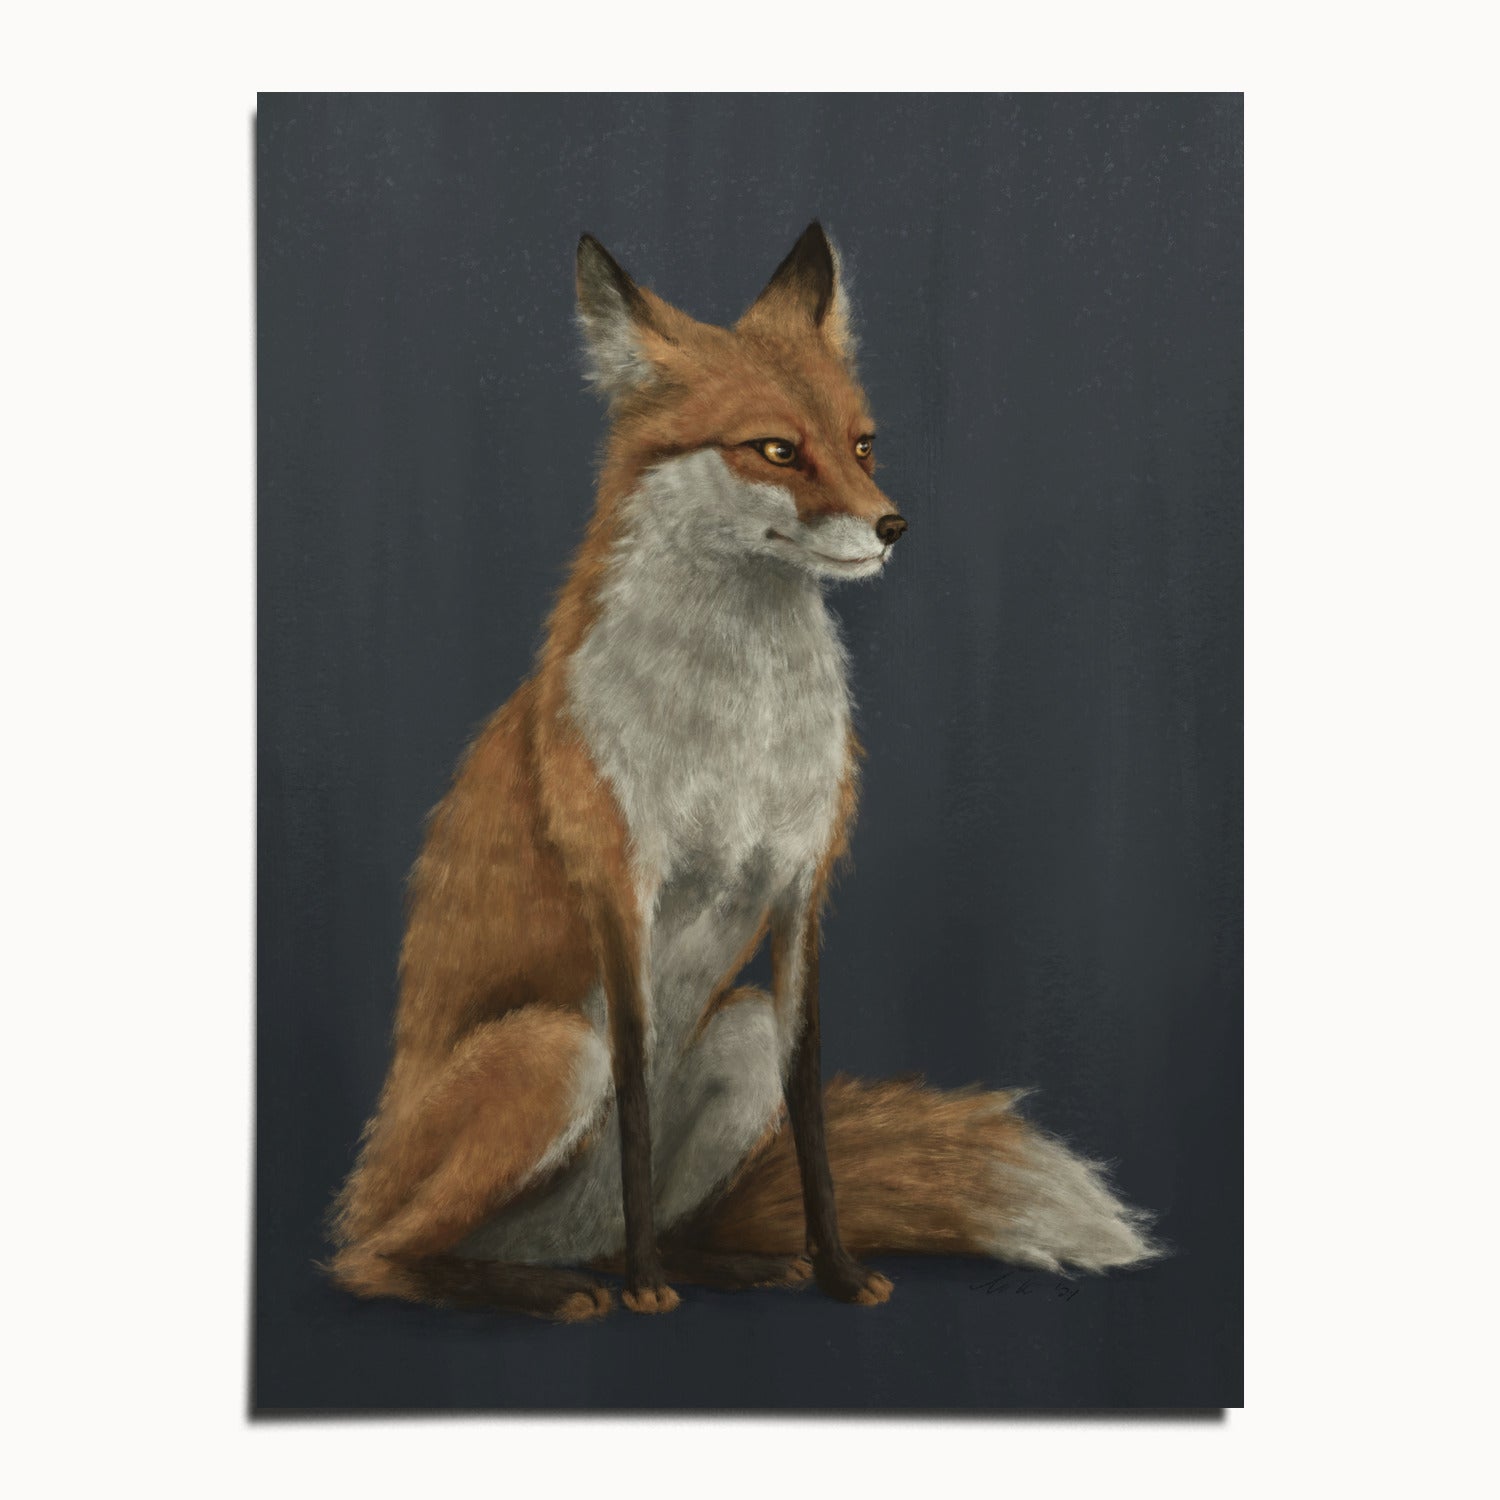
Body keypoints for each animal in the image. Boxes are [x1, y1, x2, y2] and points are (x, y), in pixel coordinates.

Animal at [326, 223, 1159, 1322]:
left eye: (862, 444)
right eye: (775, 449)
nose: (894, 526)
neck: (740, 731)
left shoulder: (802, 887)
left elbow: (810, 1113)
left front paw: (838, 1271)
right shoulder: (621, 889)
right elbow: (636, 1099)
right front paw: (647, 1292)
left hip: (738, 1032)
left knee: (629, 1221)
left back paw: (716, 1263)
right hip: (551, 1051)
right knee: (376, 1259)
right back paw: (556, 1287)